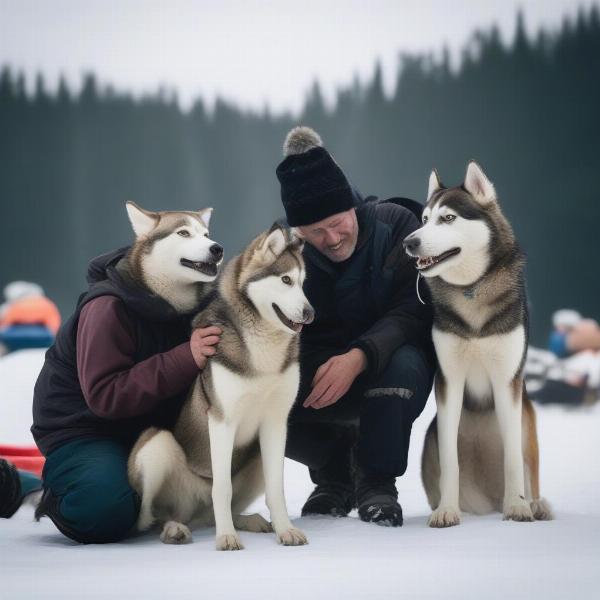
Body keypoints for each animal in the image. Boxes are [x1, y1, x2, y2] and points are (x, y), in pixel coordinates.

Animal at [126, 224, 314, 548]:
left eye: (303, 283)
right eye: (286, 280)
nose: (310, 313)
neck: (263, 354)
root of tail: (196, 513)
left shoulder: (276, 422)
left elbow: (276, 488)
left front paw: (285, 530)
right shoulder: (222, 421)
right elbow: (222, 489)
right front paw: (226, 537)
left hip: (255, 455)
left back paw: (249, 520)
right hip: (156, 445)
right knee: (151, 517)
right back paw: (174, 529)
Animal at [404, 162, 552, 528]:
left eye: (447, 218)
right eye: (424, 218)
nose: (409, 242)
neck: (471, 289)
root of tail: (489, 500)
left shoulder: (507, 382)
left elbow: (514, 457)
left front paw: (518, 507)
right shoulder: (449, 381)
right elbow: (450, 461)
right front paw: (447, 510)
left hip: (528, 417)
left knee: (530, 468)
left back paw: (535, 504)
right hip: (430, 437)